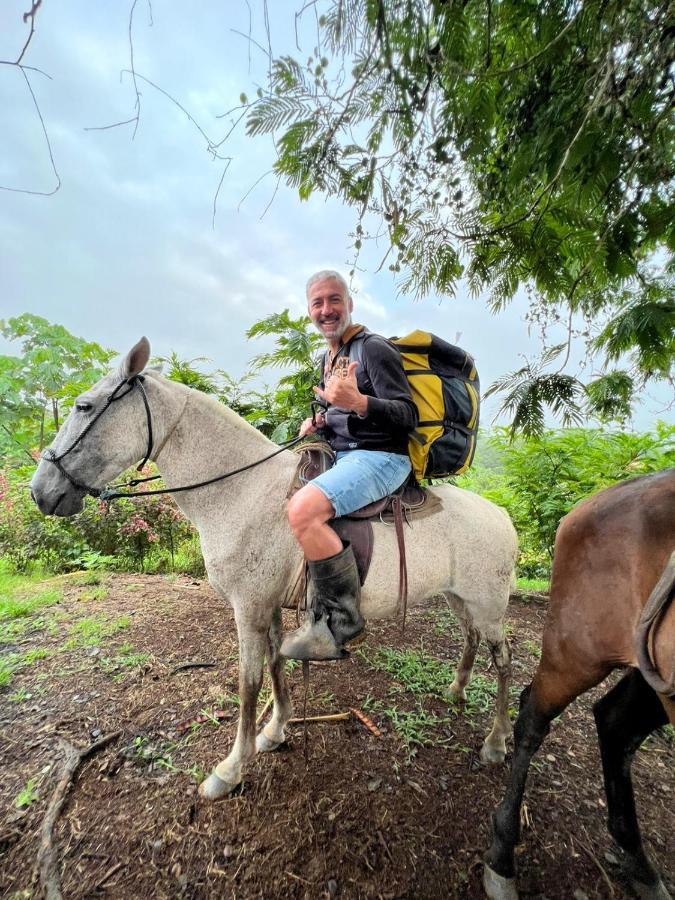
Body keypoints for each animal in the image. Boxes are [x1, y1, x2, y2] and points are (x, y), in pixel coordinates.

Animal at [30, 338, 516, 800]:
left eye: (84, 406)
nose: (40, 491)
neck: (241, 489)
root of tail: (503, 517)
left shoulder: (248, 608)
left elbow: (249, 681)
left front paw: (230, 769)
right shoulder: (269, 606)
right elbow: (277, 663)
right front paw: (276, 730)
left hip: (489, 606)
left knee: (504, 660)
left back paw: (497, 740)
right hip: (459, 599)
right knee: (471, 638)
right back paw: (457, 691)